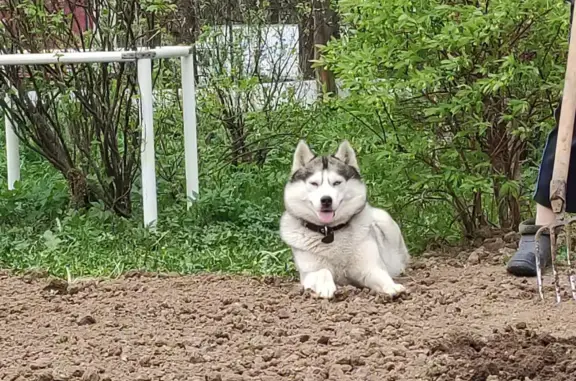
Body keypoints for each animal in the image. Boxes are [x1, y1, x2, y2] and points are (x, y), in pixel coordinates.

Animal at [280, 140, 410, 296]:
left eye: (337, 182)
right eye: (314, 183)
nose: (326, 200)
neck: (330, 231)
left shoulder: (369, 268)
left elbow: (381, 276)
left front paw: (392, 286)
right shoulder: (309, 273)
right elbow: (323, 272)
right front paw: (326, 287)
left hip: (383, 218)